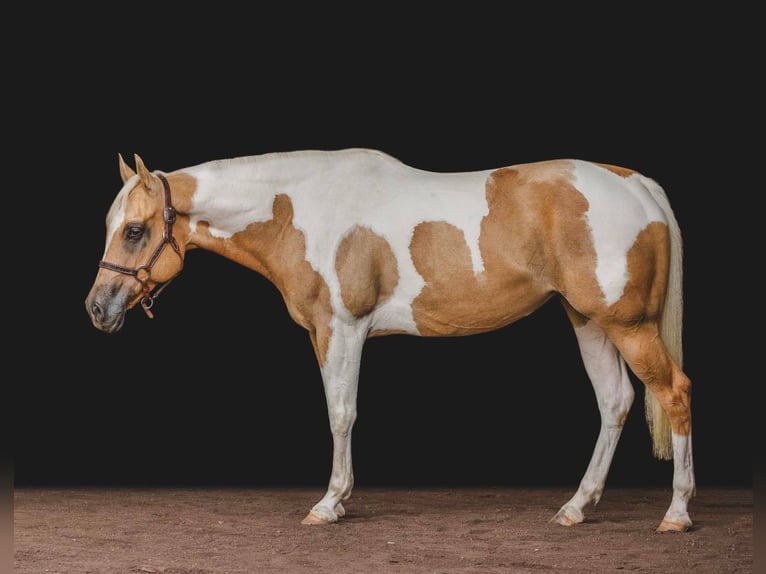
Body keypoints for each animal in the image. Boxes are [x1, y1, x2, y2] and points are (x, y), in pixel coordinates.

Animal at [84, 150, 696, 536]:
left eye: (135, 230)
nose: (97, 308)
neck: (300, 209)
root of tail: (635, 184)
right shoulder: (325, 332)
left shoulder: (343, 328)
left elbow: (341, 414)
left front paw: (330, 504)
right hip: (588, 321)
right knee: (615, 403)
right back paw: (575, 508)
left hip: (628, 325)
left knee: (675, 394)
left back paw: (677, 514)